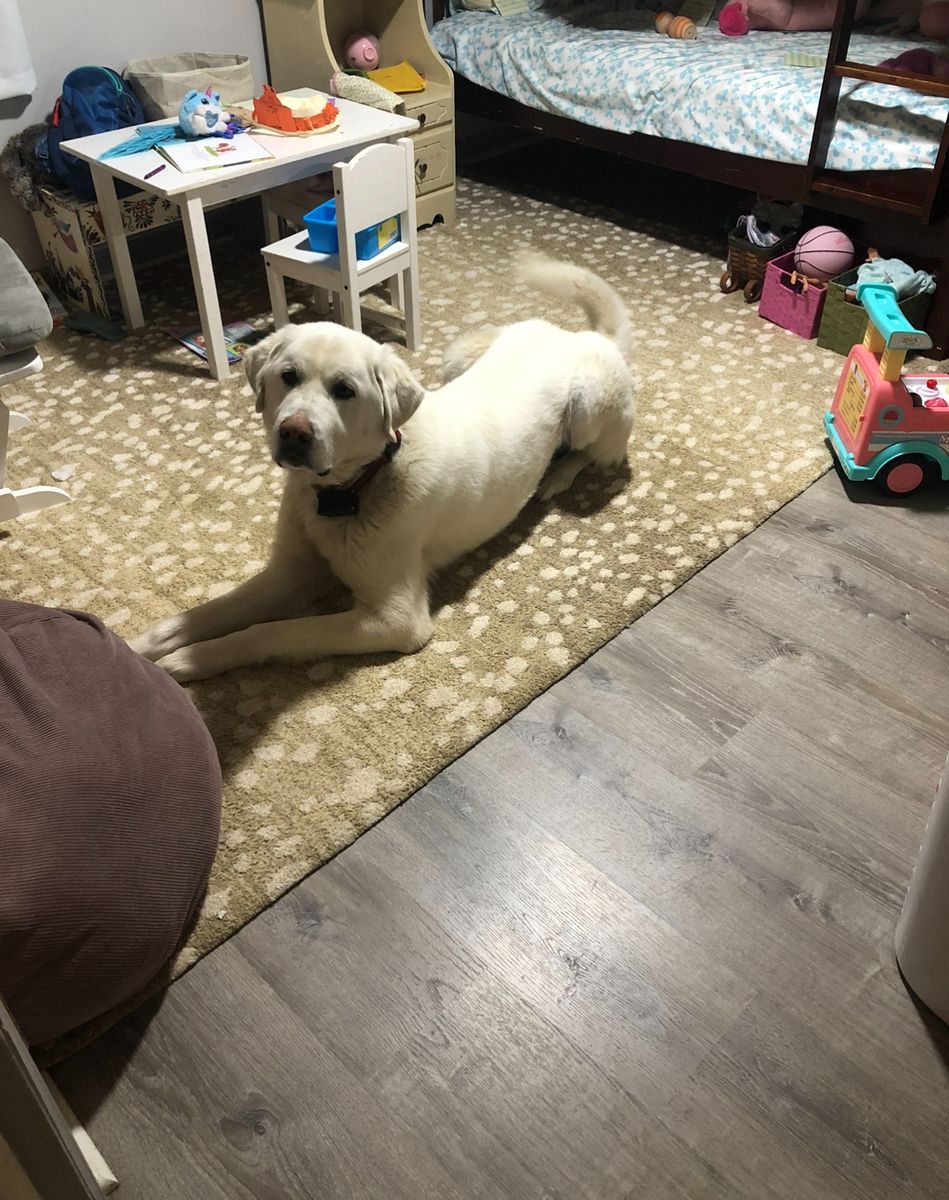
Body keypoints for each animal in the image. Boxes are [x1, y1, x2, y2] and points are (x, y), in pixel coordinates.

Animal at [130, 256, 635, 681]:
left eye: (345, 390)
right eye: (288, 377)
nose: (293, 432)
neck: (345, 491)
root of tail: (586, 335)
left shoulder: (395, 618)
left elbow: (275, 631)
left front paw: (191, 661)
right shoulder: (291, 570)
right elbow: (208, 612)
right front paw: (140, 648)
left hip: (587, 406)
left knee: (596, 451)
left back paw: (558, 475)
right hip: (457, 357)